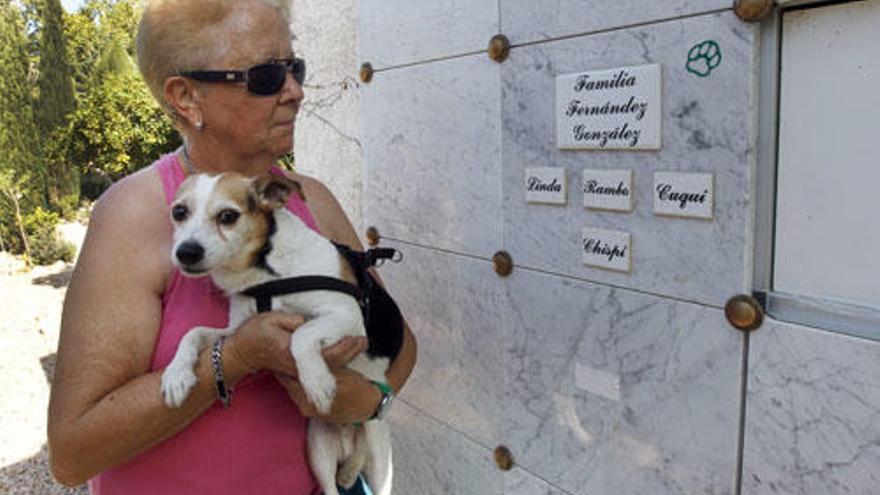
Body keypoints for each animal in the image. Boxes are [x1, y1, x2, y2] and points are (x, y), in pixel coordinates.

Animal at [162, 171, 396, 495]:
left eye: (228, 216)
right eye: (179, 212)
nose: (186, 252)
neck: (267, 270)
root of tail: (352, 442)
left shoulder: (347, 316)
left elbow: (302, 334)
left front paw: (317, 381)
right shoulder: (237, 330)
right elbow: (193, 333)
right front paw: (176, 375)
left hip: (379, 460)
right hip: (317, 449)